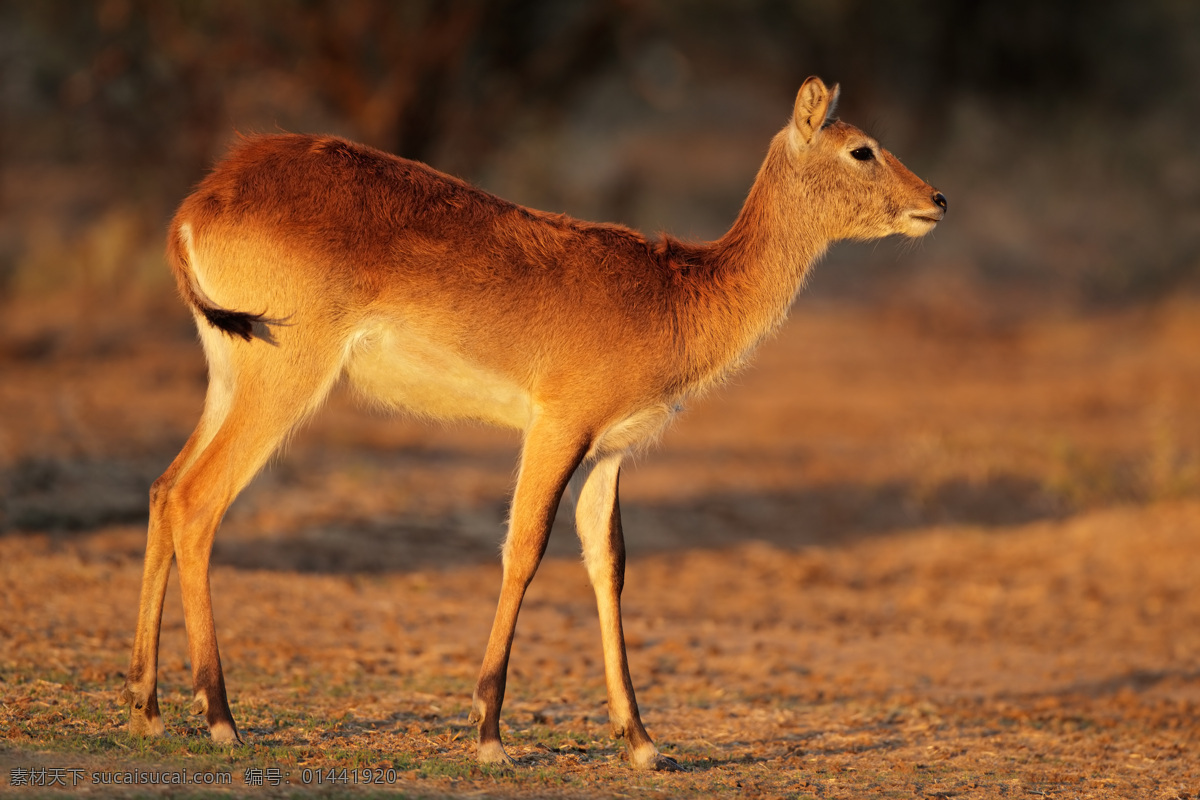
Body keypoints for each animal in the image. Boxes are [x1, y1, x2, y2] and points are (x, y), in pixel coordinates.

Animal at [121, 77, 945, 772]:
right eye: (862, 148)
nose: (937, 199)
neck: (679, 294)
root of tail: (204, 199)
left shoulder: (609, 452)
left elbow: (608, 564)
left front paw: (641, 742)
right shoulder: (556, 428)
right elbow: (524, 549)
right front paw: (490, 734)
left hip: (229, 376)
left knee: (163, 488)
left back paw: (147, 710)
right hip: (283, 378)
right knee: (197, 499)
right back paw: (220, 718)